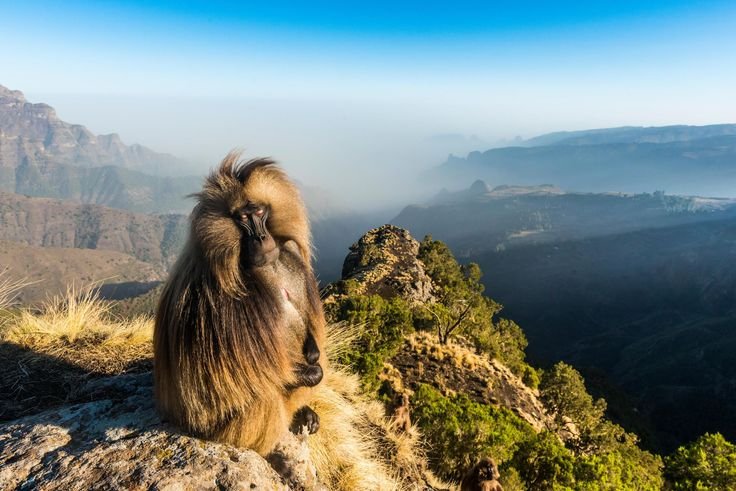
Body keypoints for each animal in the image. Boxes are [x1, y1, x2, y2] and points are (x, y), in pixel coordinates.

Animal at [153, 151, 326, 456]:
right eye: (243, 218)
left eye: (259, 213)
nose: (261, 238)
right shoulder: (218, 296)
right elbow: (251, 373)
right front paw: (311, 372)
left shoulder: (290, 256)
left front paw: (313, 356)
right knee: (263, 398)